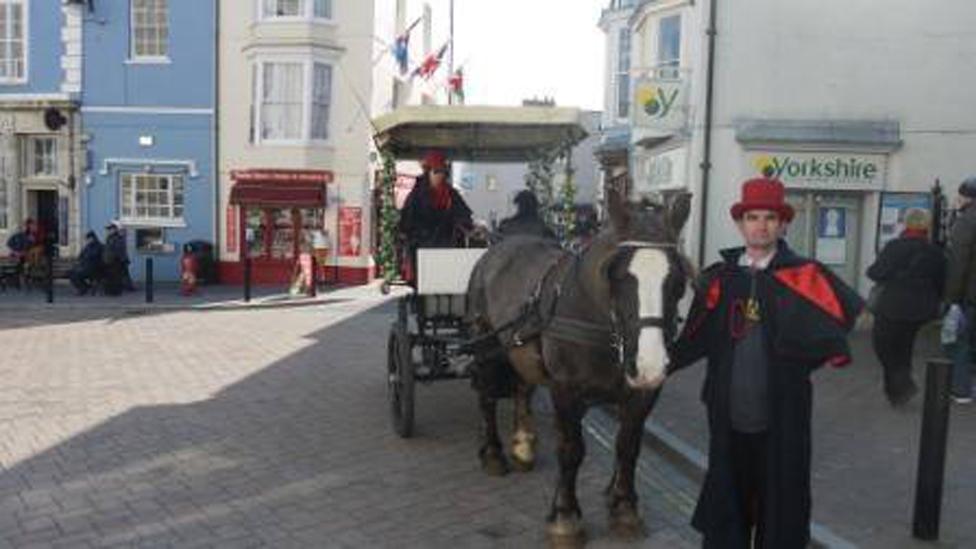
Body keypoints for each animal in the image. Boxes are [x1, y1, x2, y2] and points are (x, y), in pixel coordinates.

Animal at [468, 189, 692, 544]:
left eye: (678, 280)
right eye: (618, 276)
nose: (649, 365)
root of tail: (499, 248)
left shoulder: (642, 394)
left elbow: (628, 446)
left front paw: (624, 508)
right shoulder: (566, 390)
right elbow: (571, 449)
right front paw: (565, 516)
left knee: (522, 387)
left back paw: (523, 445)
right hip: (486, 344)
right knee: (487, 395)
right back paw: (492, 453)